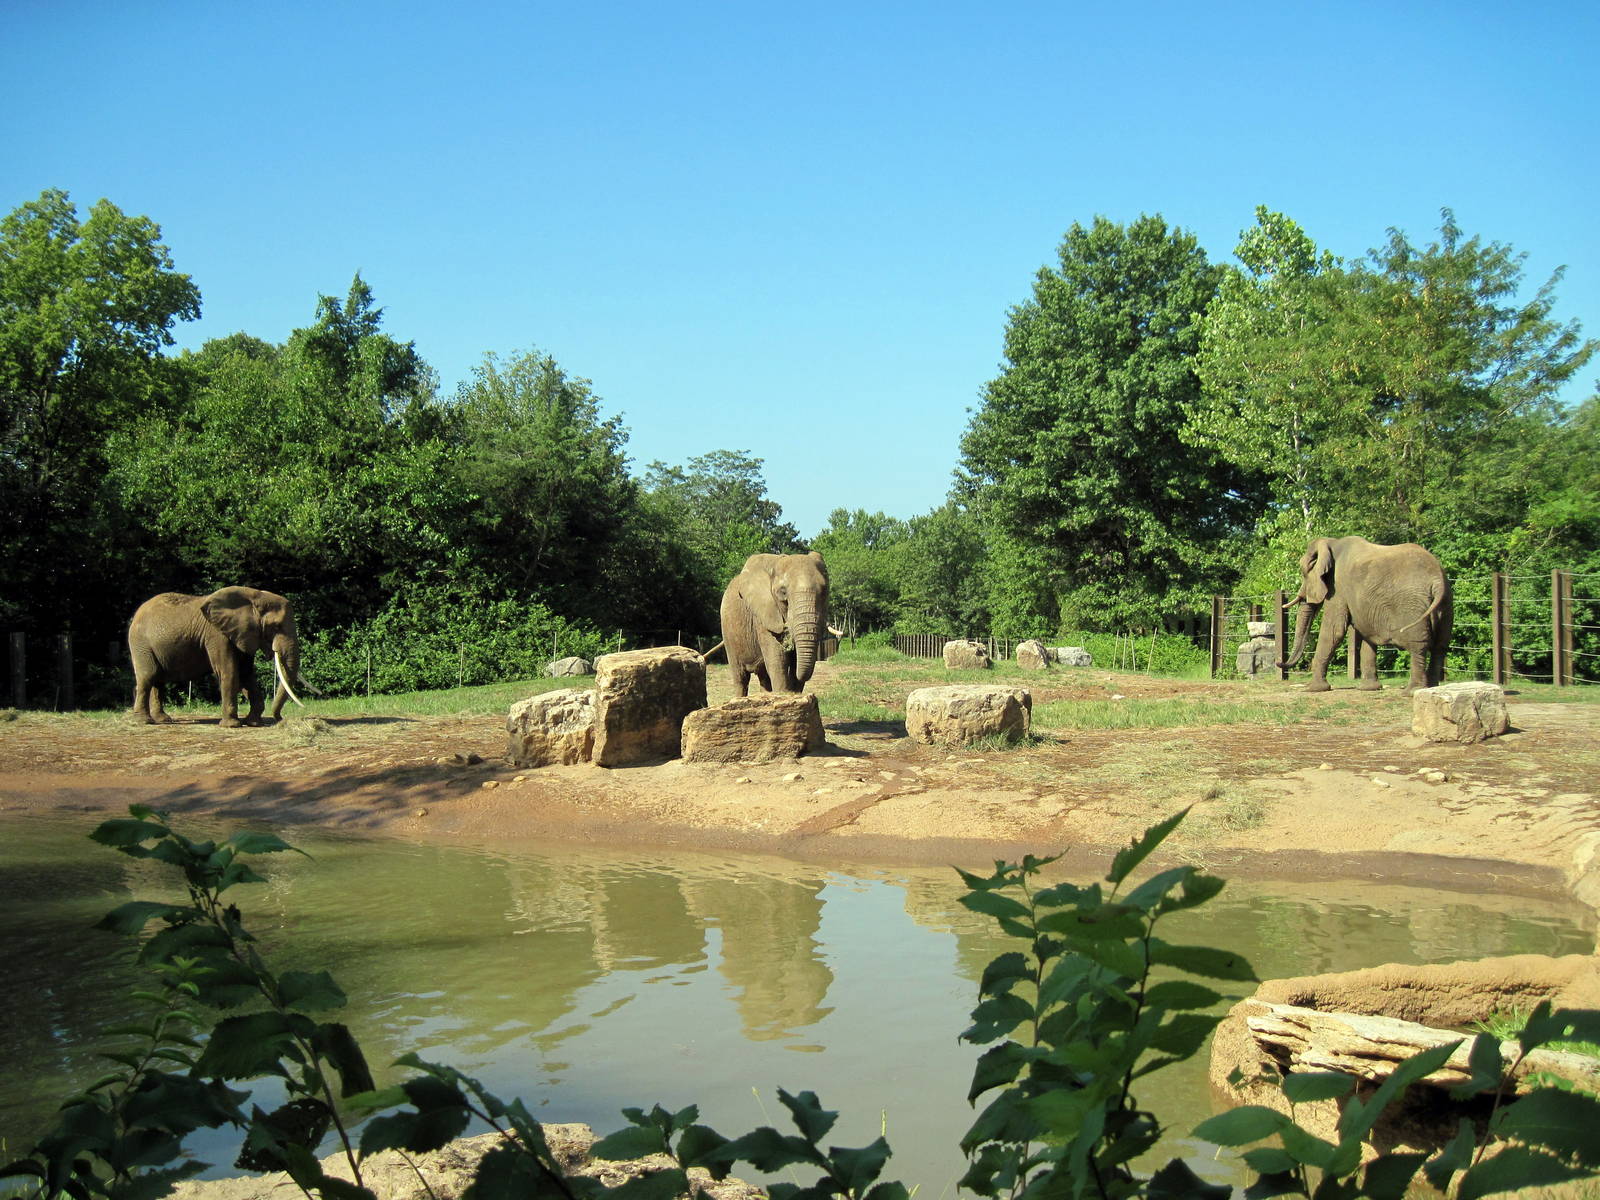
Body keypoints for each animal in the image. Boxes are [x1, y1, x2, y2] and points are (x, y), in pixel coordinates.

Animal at [128, 587, 308, 726]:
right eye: (275, 626)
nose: (281, 719)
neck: (254, 596)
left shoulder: (242, 634)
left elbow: (246, 673)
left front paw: (253, 723)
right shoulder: (216, 634)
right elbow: (229, 671)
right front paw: (232, 725)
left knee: (158, 679)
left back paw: (163, 720)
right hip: (140, 643)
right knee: (149, 675)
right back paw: (144, 721)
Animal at [720, 552, 830, 697]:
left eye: (824, 591)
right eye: (783, 592)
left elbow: (793, 660)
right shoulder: (763, 615)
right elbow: (777, 660)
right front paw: (784, 694)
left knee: (763, 677)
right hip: (728, 633)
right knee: (741, 678)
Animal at [1278, 536, 1453, 694]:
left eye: (1304, 573)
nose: (1279, 662)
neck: (1332, 543)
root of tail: (1437, 580)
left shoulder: (1338, 587)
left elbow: (1334, 630)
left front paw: (1313, 689)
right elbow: (1367, 636)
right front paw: (1368, 688)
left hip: (1411, 605)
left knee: (1418, 645)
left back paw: (1412, 691)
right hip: (1446, 604)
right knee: (1440, 646)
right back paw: (1432, 688)